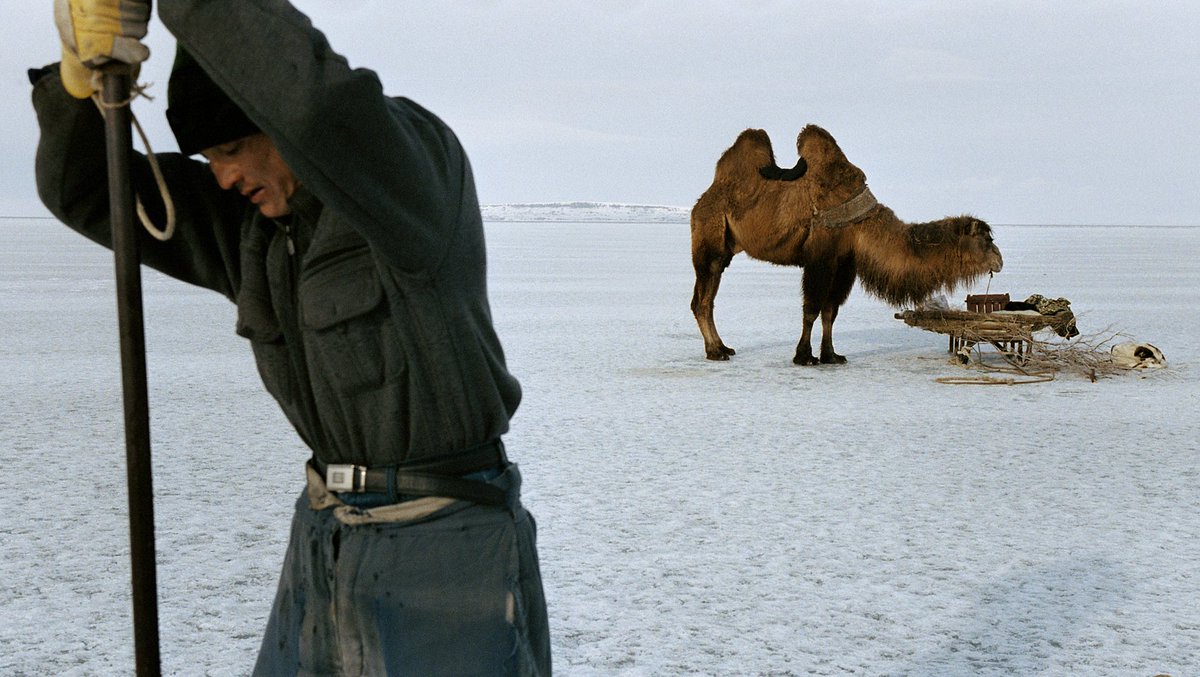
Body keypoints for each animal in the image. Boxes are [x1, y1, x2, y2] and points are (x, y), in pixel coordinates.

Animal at [690, 124, 1004, 365]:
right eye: (986, 239)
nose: (1000, 260)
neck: (862, 225)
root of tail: (703, 199)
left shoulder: (844, 263)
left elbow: (831, 311)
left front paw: (831, 355)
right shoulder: (820, 258)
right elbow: (812, 308)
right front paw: (804, 357)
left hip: (725, 246)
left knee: (707, 298)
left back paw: (722, 347)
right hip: (710, 236)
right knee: (702, 299)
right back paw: (716, 351)